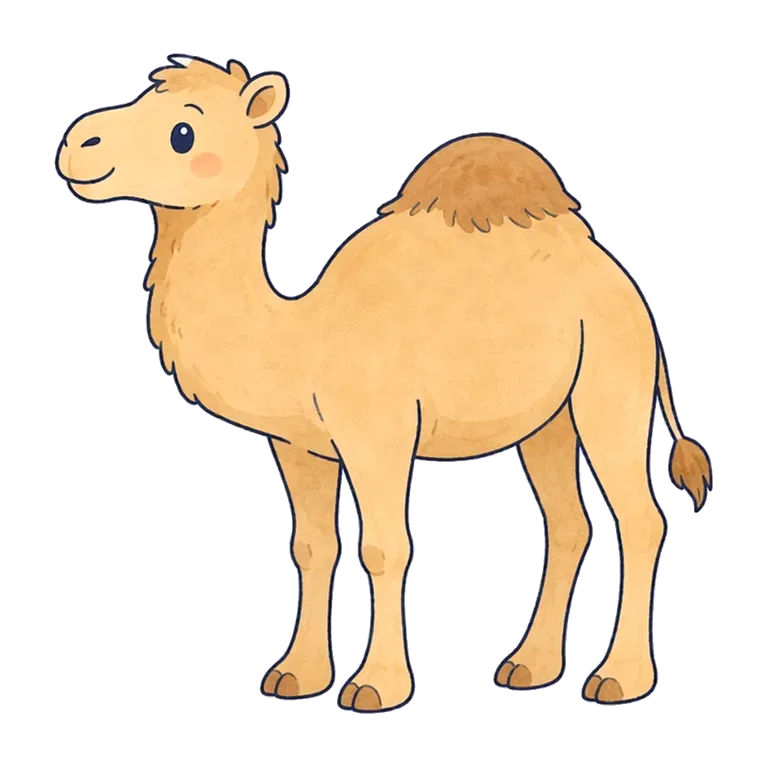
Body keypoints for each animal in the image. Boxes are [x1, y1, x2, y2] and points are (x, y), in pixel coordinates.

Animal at [55, 54, 712, 712]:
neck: (300, 335)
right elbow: (313, 547)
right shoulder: (298, 446)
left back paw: (619, 678)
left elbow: (384, 547)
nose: (76, 143)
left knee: (640, 518)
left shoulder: (380, 433)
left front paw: (375, 686)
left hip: (610, 379)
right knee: (568, 522)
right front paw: (295, 675)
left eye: (183, 132)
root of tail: (628, 288)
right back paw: (528, 666)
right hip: (547, 421)